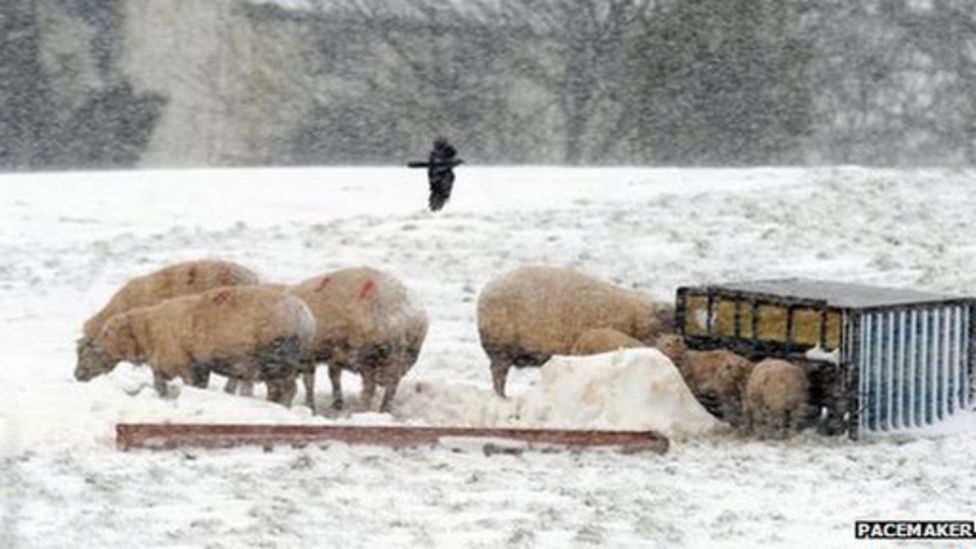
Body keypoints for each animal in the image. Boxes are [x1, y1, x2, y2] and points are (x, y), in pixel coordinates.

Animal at [75, 284, 314, 404]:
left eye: (90, 349)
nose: (77, 375)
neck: (148, 332)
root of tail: (305, 317)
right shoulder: (169, 365)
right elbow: (160, 386)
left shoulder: (185, 365)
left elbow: (189, 385)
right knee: (280, 389)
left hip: (273, 358)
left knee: (286, 389)